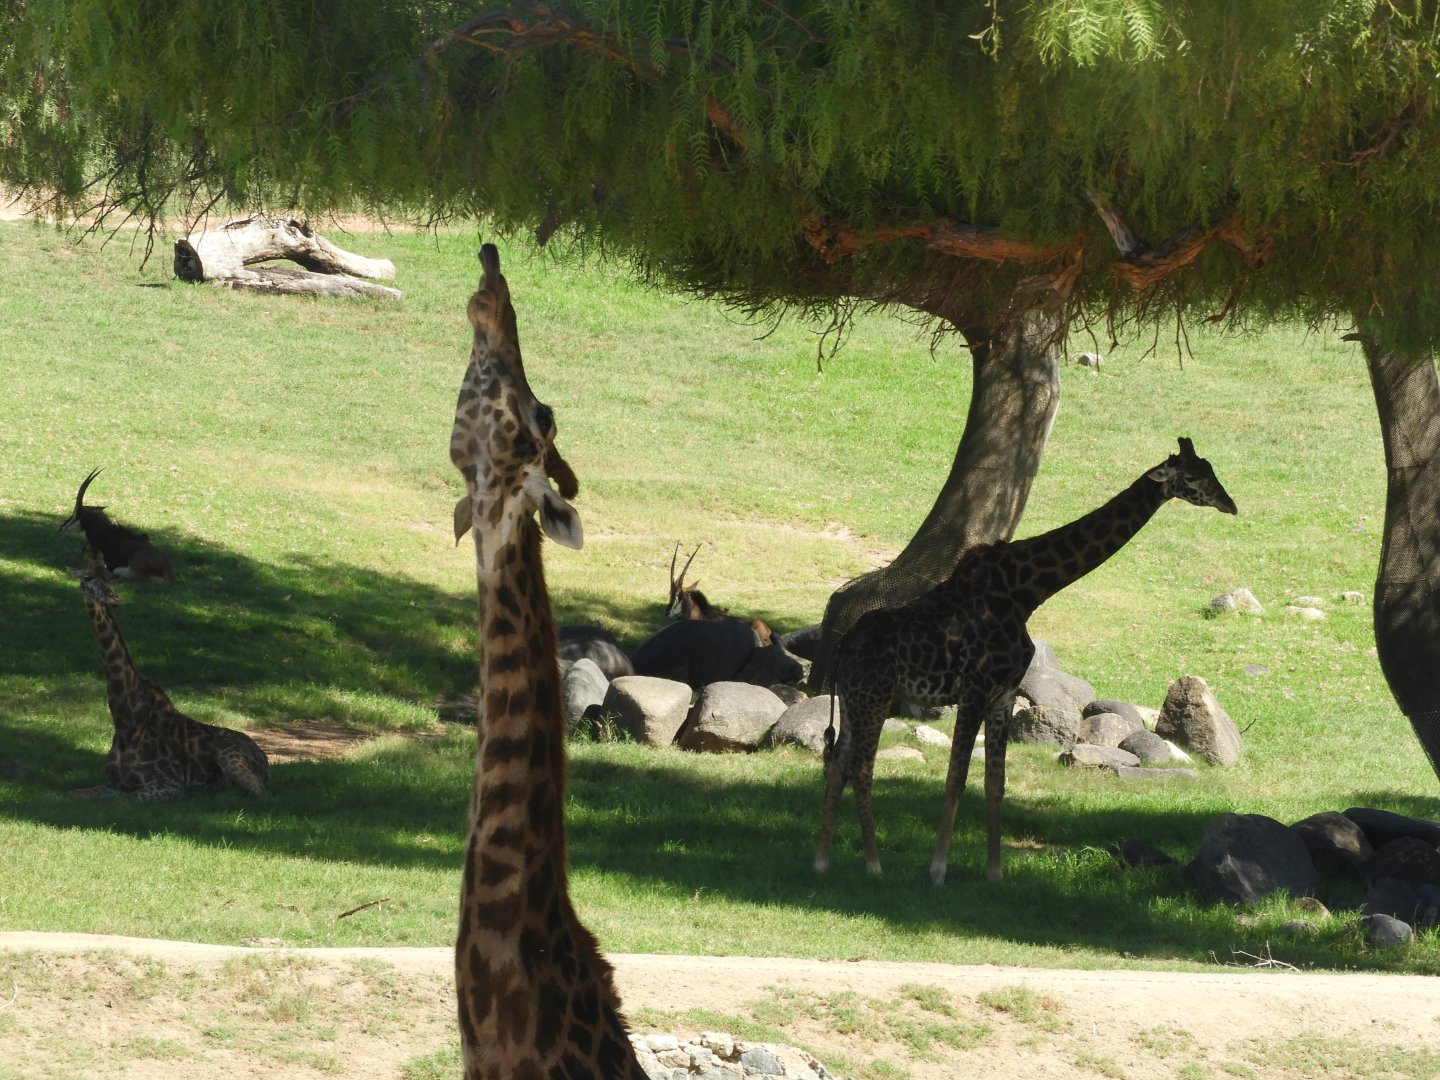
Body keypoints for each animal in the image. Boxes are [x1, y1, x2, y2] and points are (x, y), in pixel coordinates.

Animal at [71, 547, 269, 799]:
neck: (126, 721)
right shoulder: (112, 784)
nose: (113, 597)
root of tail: (264, 760)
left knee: (259, 793)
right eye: (87, 577)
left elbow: (126, 799)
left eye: (108, 575)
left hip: (229, 759)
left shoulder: (171, 785)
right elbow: (74, 794)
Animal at [814, 438, 1236, 885]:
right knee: (861, 767)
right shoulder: (975, 688)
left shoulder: (1004, 692)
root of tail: (841, 648)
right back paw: (873, 865)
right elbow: (955, 778)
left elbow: (995, 782)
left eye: (1210, 468)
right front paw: (938, 870)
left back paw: (823, 861)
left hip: (855, 699)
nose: (1230, 504)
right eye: (1191, 477)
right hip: (873, 697)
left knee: (838, 762)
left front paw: (995, 873)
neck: (1026, 592)